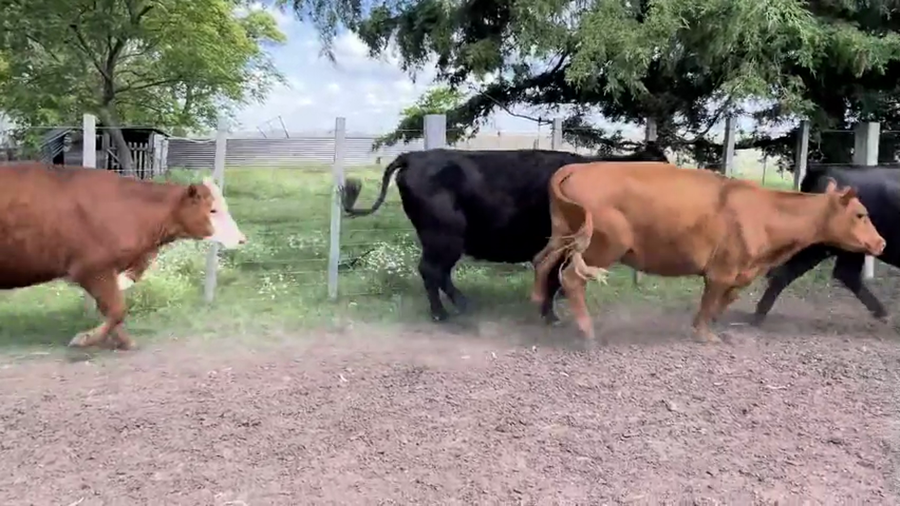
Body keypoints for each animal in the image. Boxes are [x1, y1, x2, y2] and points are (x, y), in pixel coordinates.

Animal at [0, 161, 247, 350]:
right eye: (213, 210)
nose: (242, 239)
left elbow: (113, 310)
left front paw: (123, 341)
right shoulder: (92, 269)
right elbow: (117, 309)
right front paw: (86, 338)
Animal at [340, 147, 669, 323]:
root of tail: (415, 156)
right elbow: (553, 278)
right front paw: (551, 315)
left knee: (436, 272)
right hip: (445, 236)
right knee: (432, 270)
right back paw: (449, 311)